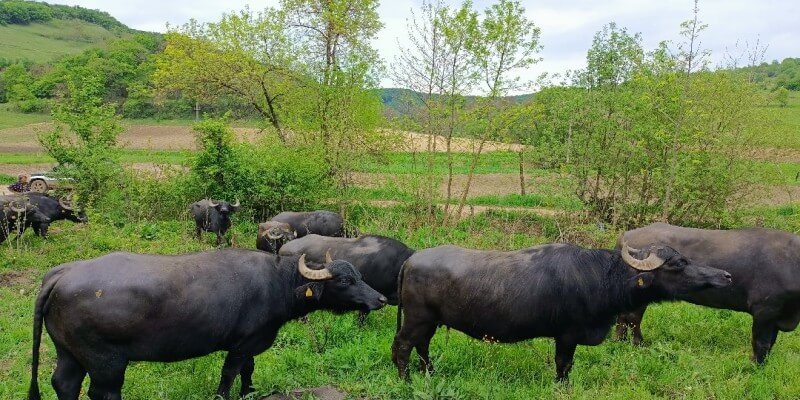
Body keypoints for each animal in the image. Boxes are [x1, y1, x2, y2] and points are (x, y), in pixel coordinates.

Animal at [30, 250, 390, 400]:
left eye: (359, 275)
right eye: (344, 280)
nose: (381, 299)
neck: (278, 282)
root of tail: (63, 274)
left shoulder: (252, 343)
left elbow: (249, 370)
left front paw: (249, 392)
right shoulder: (242, 344)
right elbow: (230, 372)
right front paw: (225, 395)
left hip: (69, 352)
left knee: (64, 384)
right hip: (106, 361)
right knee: (102, 392)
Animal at [392, 241, 732, 382]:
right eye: (678, 263)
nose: (726, 276)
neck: (599, 278)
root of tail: (411, 261)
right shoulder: (567, 336)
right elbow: (564, 365)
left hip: (430, 322)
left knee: (422, 347)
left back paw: (430, 373)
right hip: (416, 319)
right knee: (403, 347)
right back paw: (407, 380)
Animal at [616, 223, 800, 364]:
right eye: (679, 262)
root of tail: (625, 236)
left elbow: (771, 343)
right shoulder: (764, 311)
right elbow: (761, 343)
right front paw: (756, 365)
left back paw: (619, 341)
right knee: (633, 318)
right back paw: (637, 343)